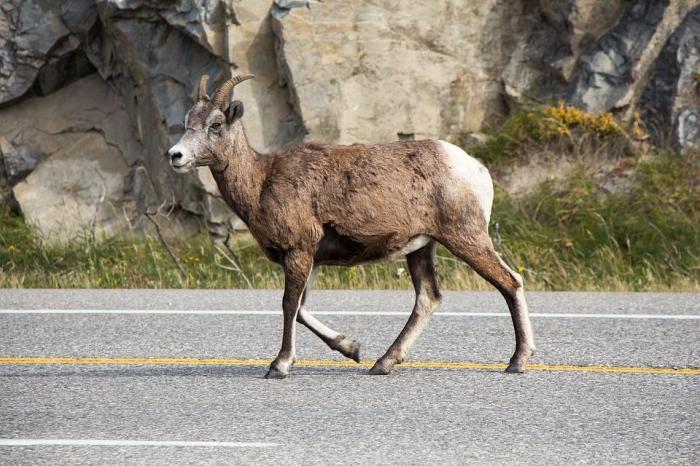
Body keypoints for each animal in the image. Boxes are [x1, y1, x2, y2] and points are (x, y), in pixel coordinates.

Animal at [165, 73, 536, 378]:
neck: (261, 182)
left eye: (215, 124)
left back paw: (517, 361)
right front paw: (352, 348)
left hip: (465, 238)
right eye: (187, 122)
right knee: (428, 298)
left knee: (509, 282)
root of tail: (474, 168)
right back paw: (382, 363)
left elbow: (289, 306)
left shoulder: (298, 252)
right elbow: (302, 310)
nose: (175, 156)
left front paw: (279, 366)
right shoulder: (311, 259)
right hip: (421, 248)